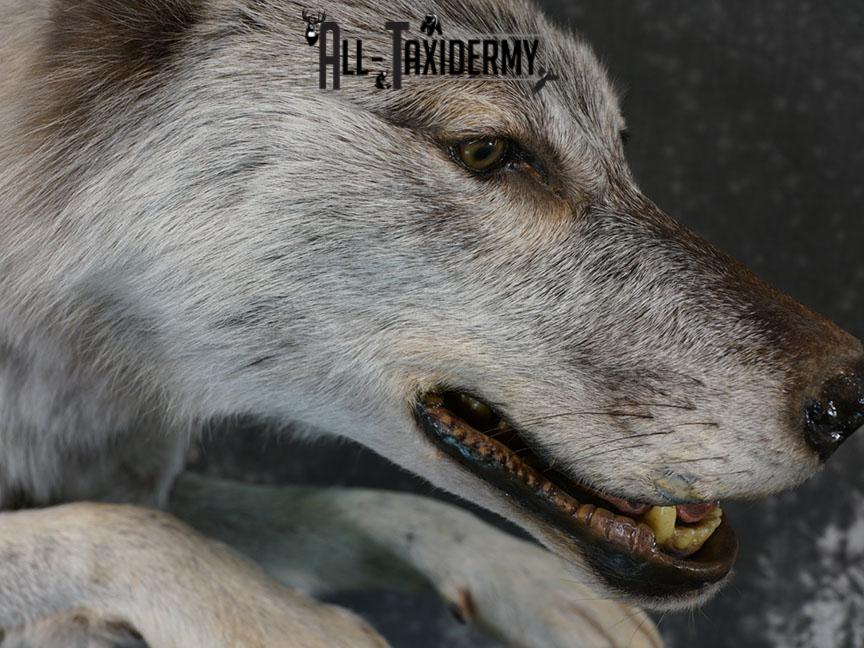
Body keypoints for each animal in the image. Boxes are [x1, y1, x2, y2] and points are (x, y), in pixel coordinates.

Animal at [0, 0, 862, 645]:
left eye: (620, 153)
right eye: (485, 151)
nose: (850, 398)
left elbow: (331, 507)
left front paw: (525, 581)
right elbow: (126, 532)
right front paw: (287, 625)